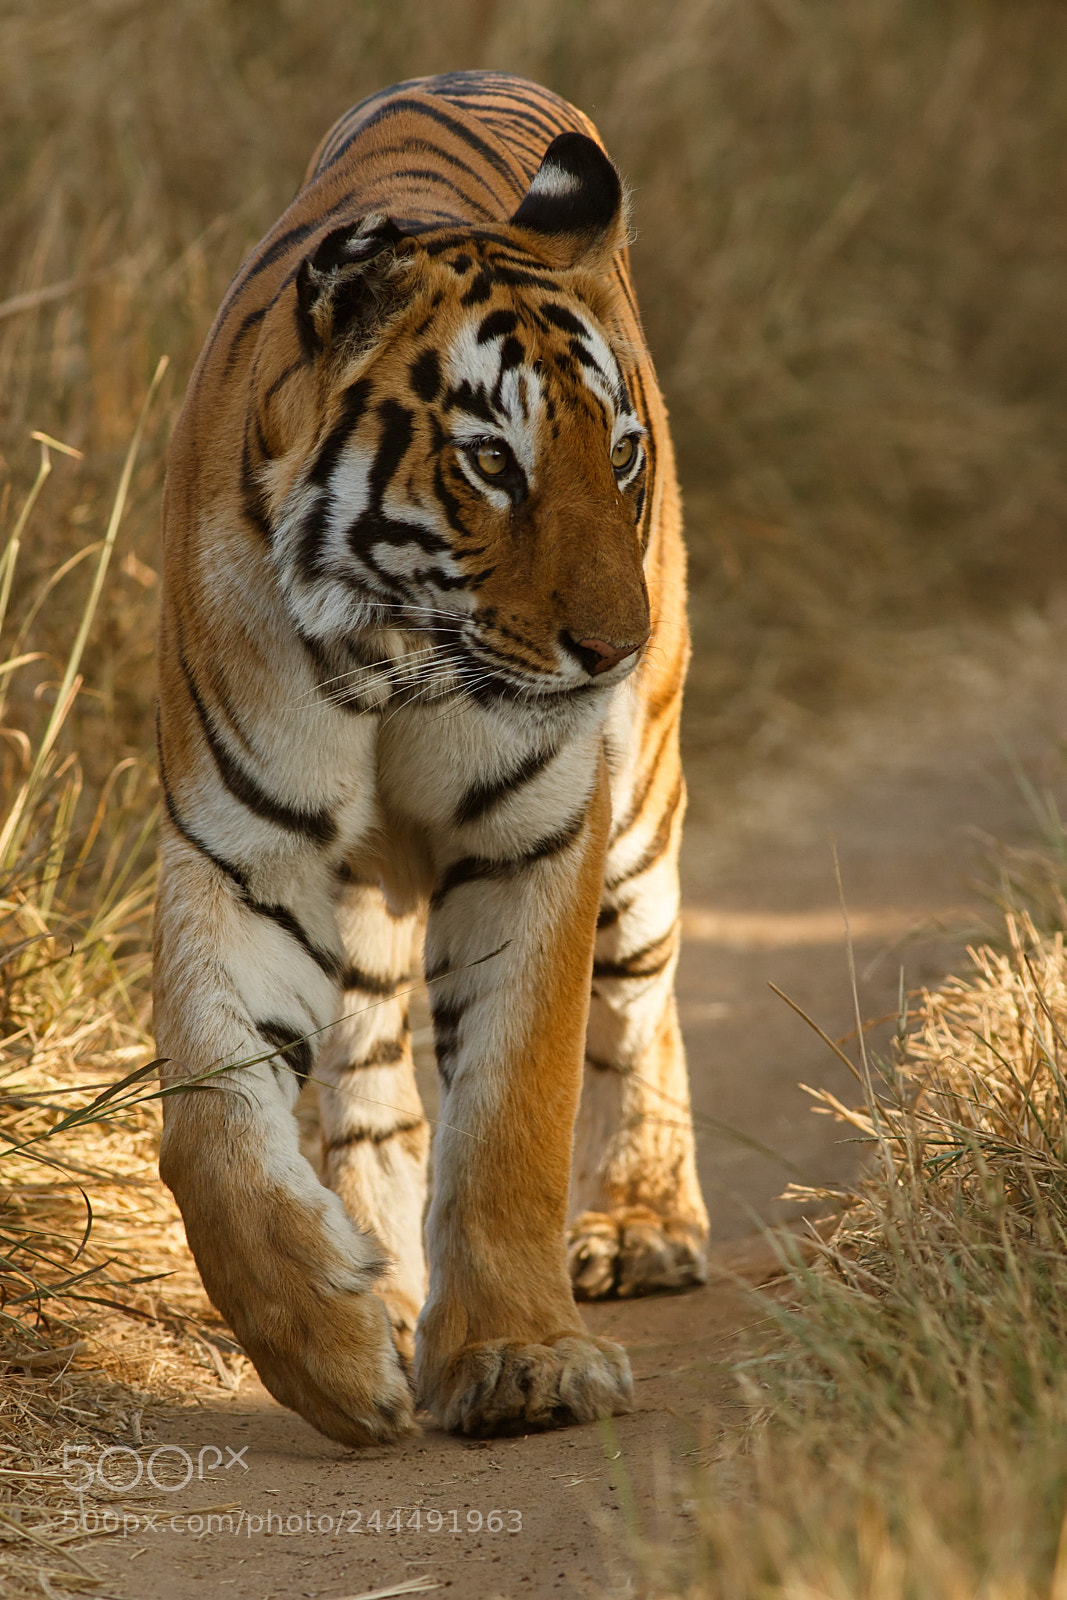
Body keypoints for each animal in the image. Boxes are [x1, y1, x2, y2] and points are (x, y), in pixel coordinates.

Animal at [154, 69, 708, 1446]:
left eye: (618, 454)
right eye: (490, 463)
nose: (612, 647)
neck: (392, 650)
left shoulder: (536, 834)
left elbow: (514, 1106)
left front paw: (521, 1361)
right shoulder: (243, 852)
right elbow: (209, 1119)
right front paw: (331, 1353)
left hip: (637, 816)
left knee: (643, 999)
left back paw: (643, 1221)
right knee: (369, 1085)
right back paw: (391, 1284)